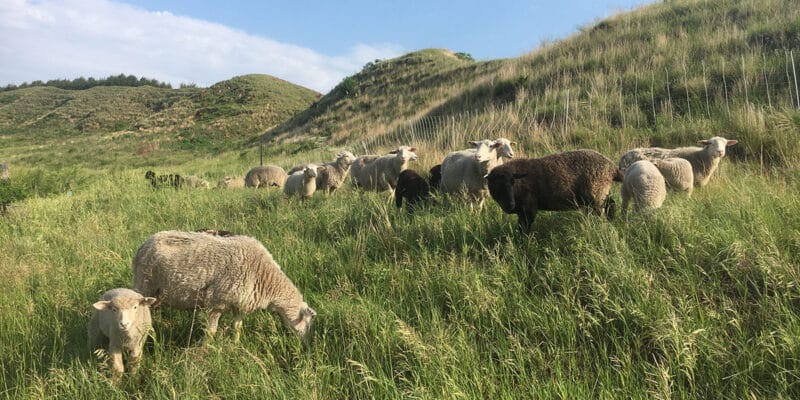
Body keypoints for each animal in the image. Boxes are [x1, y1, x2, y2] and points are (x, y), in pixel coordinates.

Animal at [132, 230, 316, 341]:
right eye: (308, 324)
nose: (305, 345)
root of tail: (143, 245)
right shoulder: (216, 302)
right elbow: (210, 332)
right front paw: (207, 351)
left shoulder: (239, 304)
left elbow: (237, 326)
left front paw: (235, 344)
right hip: (143, 285)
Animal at [486, 149, 622, 232]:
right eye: (495, 185)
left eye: (512, 182)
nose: (510, 205)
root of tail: (612, 168)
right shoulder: (521, 211)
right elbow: (521, 226)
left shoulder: (529, 208)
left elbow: (525, 227)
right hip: (600, 193)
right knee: (611, 203)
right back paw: (611, 221)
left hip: (596, 193)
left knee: (604, 210)